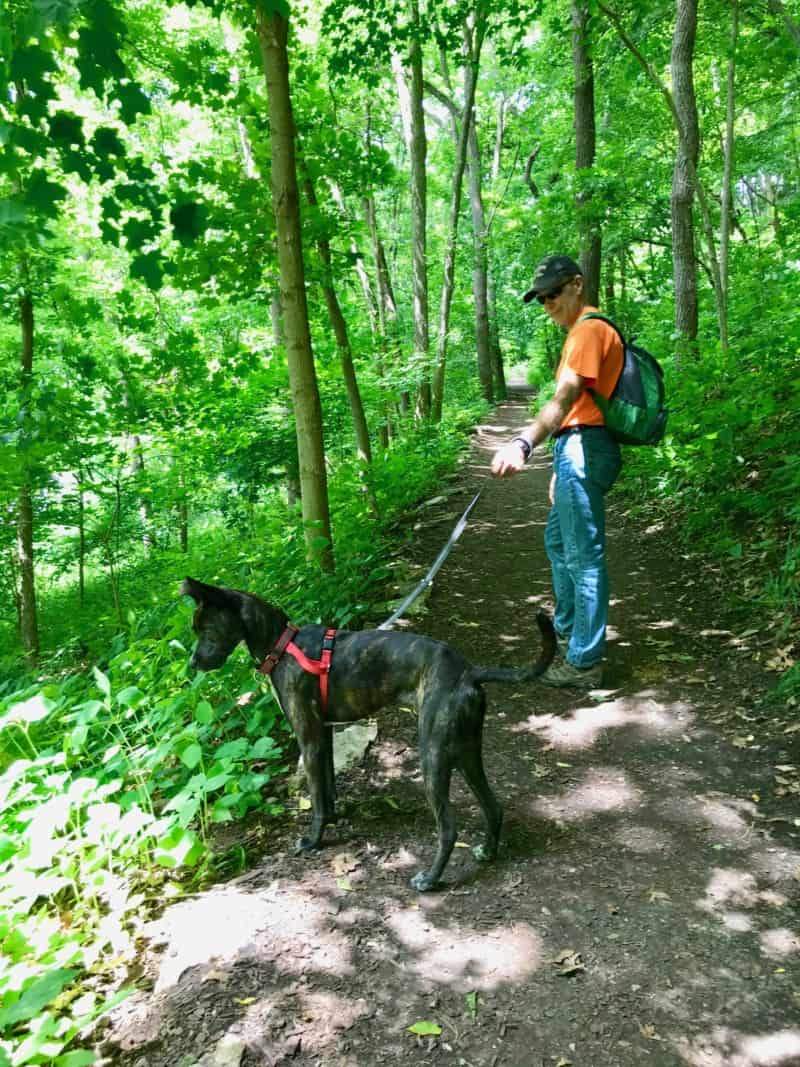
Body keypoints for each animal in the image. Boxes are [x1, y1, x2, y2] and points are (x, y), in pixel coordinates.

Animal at [181, 580, 558, 887]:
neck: (283, 644)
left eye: (206, 630)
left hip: (434, 754)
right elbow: (328, 788)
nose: (192, 665)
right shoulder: (325, 736)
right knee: (493, 806)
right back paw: (488, 852)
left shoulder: (309, 739)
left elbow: (317, 797)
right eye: (194, 629)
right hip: (466, 750)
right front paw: (333, 818)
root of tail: (468, 672)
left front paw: (314, 840)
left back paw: (430, 879)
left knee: (449, 827)